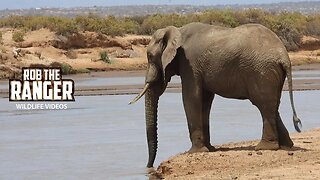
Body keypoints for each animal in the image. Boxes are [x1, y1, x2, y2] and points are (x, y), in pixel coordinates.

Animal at [129, 22, 302, 167]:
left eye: (150, 56)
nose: (149, 167)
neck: (177, 30)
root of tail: (284, 56)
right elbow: (205, 100)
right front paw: (209, 149)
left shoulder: (190, 64)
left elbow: (191, 97)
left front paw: (195, 152)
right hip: (270, 73)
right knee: (272, 106)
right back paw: (286, 145)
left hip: (261, 71)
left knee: (263, 105)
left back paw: (265, 147)